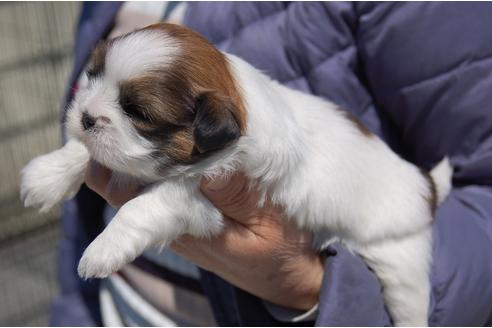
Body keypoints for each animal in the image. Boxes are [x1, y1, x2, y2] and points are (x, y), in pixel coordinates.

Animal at [22, 23, 454, 326]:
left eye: (138, 112)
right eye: (92, 76)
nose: (86, 115)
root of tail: (424, 186)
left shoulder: (198, 193)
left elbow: (144, 206)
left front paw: (102, 248)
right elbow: (86, 151)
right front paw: (47, 174)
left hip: (399, 262)